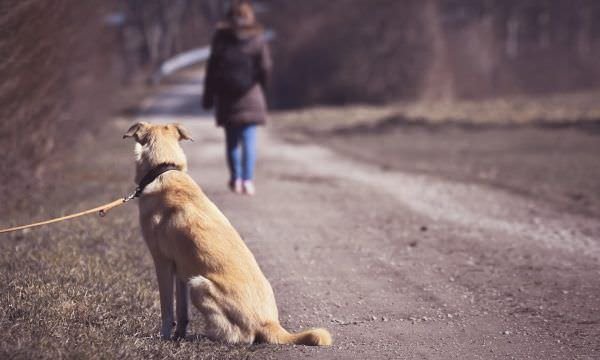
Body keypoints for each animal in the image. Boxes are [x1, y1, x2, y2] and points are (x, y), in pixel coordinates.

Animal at [122, 121, 332, 346]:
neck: (164, 169)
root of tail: (270, 323)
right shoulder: (181, 270)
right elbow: (182, 312)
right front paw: (178, 336)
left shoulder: (162, 262)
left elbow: (167, 309)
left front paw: (165, 337)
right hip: (193, 280)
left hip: (199, 284)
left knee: (241, 336)